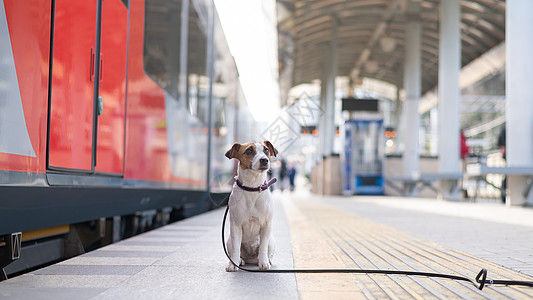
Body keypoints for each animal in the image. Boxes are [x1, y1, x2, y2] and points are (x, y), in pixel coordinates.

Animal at [223, 141, 278, 272]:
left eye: (266, 150)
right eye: (249, 151)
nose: (264, 160)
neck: (252, 187)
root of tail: (250, 258)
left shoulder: (266, 225)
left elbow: (263, 247)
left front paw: (263, 263)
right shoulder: (236, 225)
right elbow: (236, 248)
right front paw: (233, 264)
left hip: (271, 241)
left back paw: (266, 260)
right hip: (228, 241)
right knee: (236, 251)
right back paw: (239, 260)